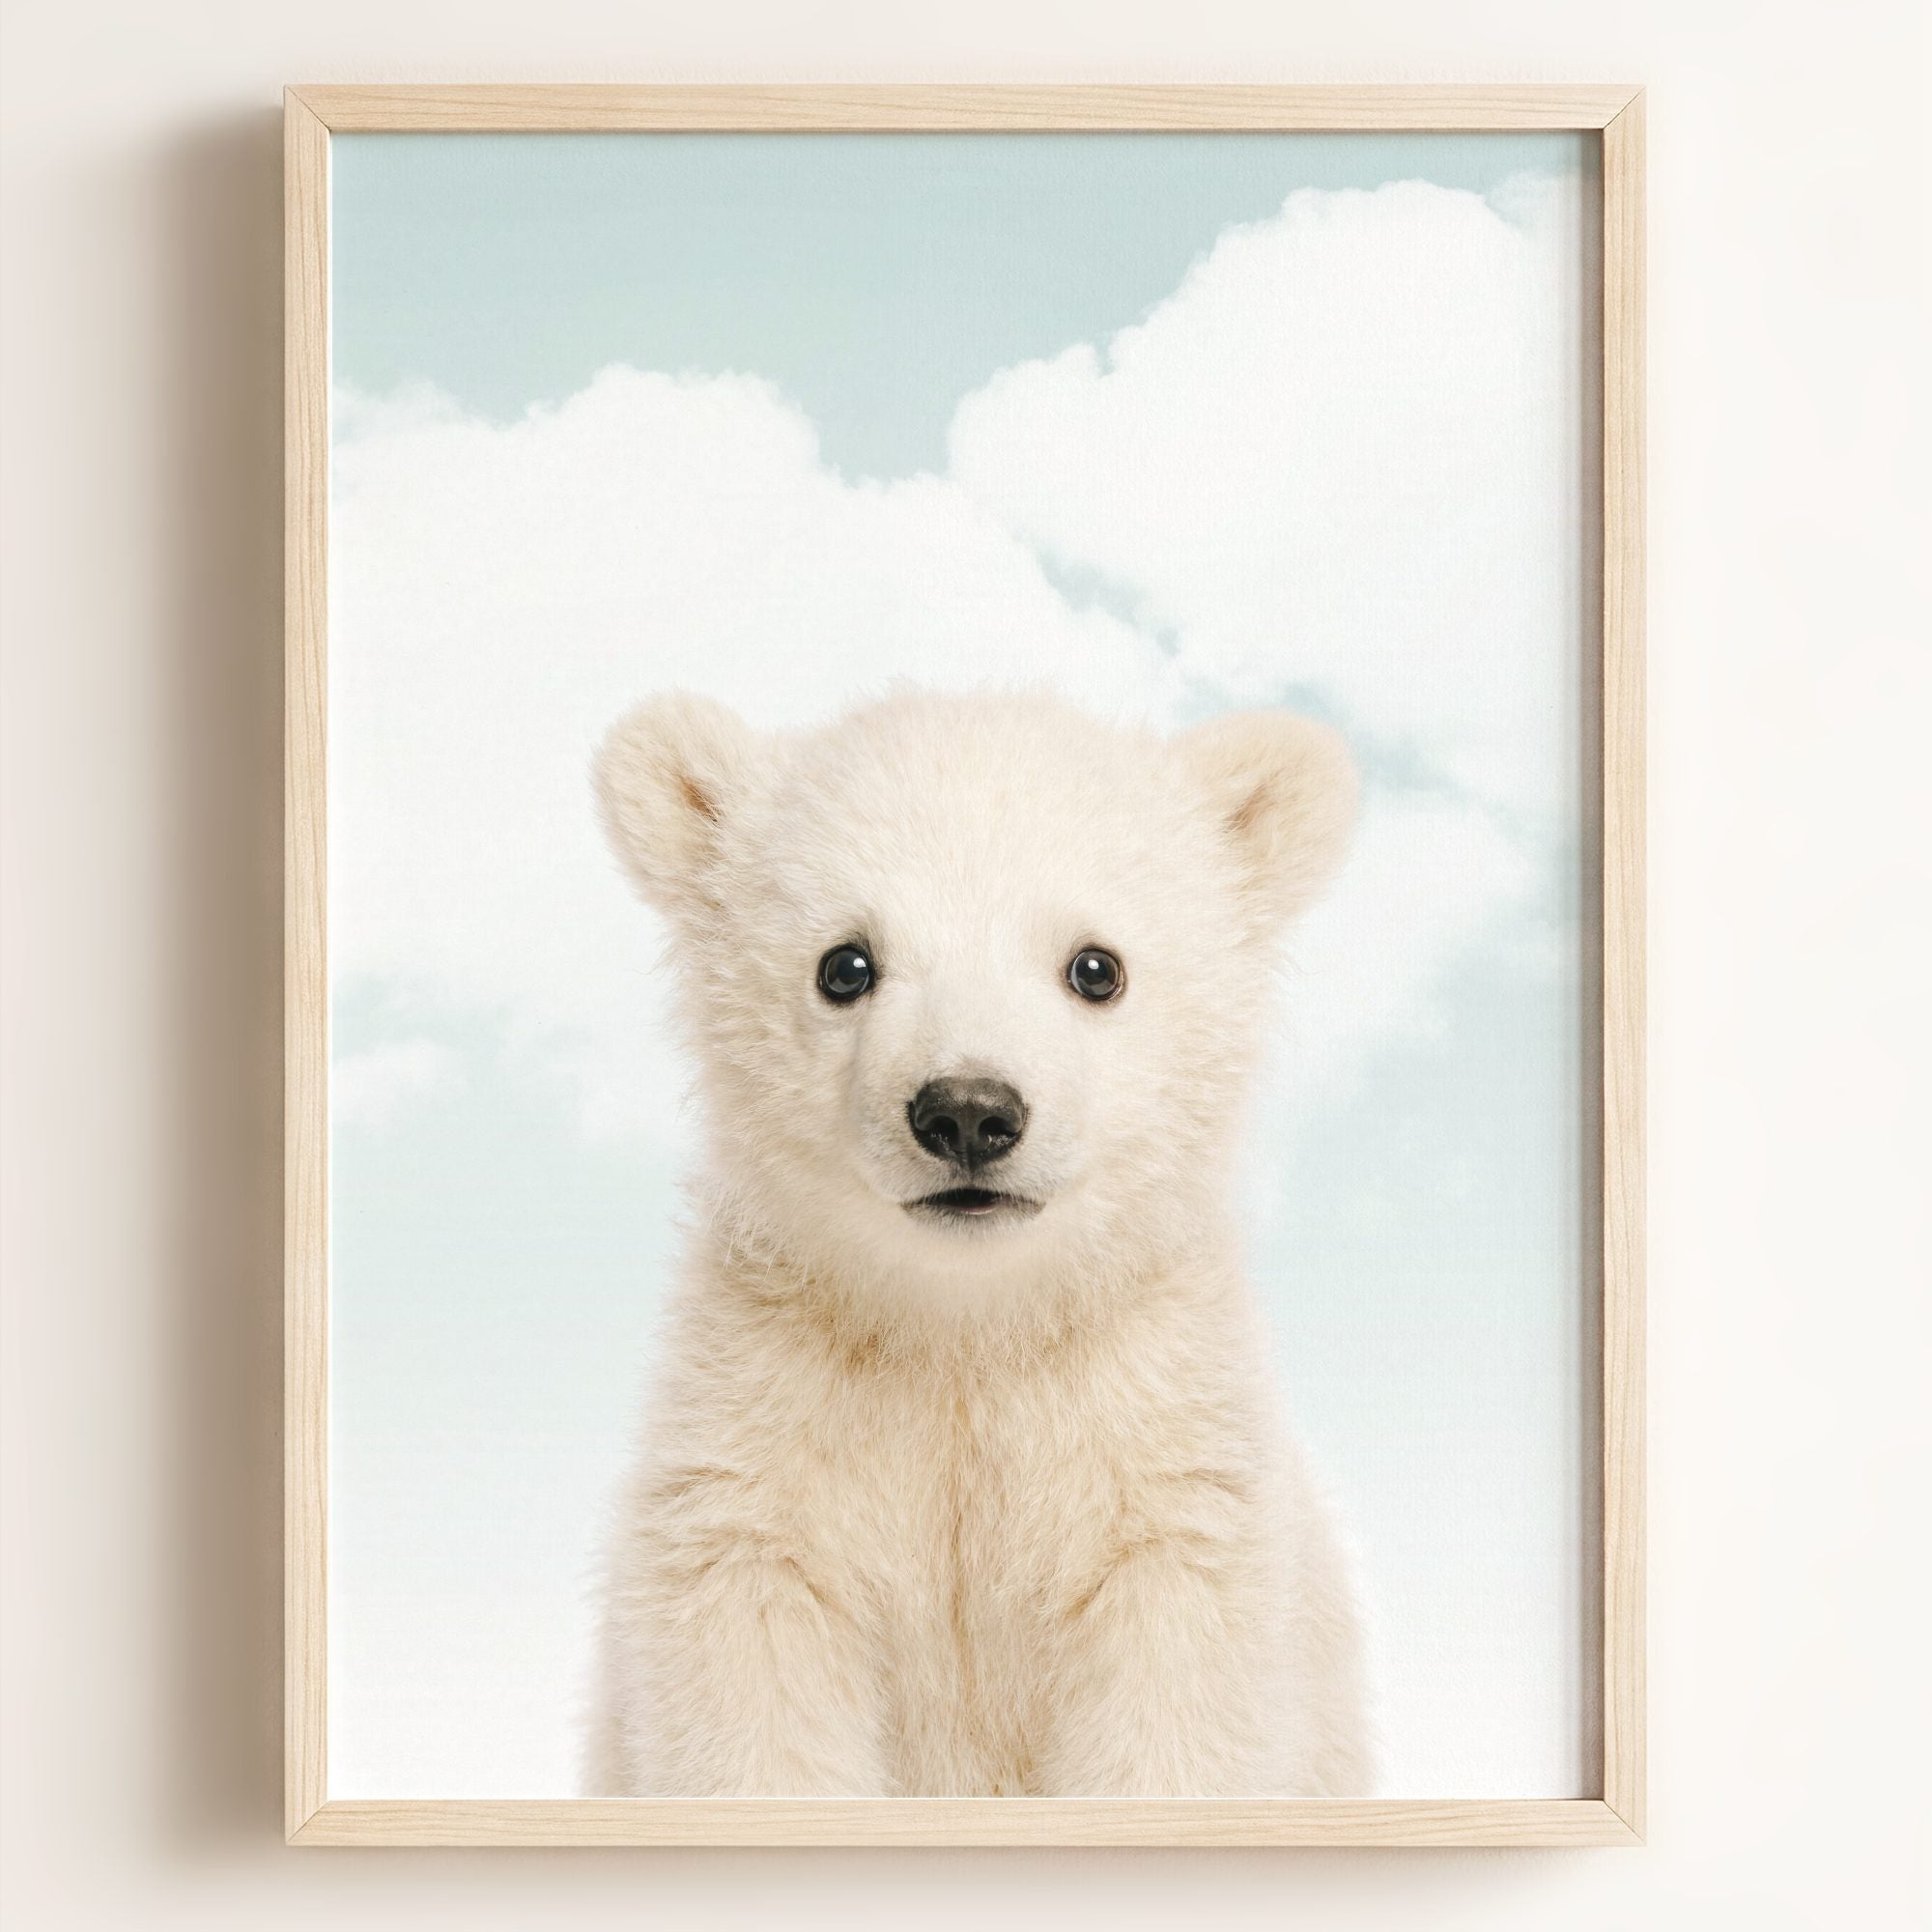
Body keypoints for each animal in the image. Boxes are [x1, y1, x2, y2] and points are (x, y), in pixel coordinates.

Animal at [581, 687, 1372, 1798]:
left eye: (1095, 967)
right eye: (845, 964)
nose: (967, 1111)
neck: (966, 1328)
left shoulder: (1160, 1464)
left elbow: (1175, 1714)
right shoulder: (761, 1451)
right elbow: (753, 1702)